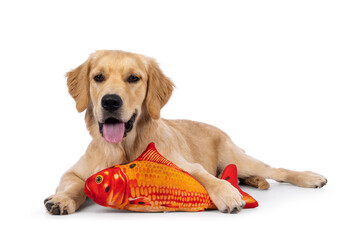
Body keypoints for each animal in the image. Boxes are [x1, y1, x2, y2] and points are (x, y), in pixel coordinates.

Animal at [43, 49, 328, 215]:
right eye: (98, 77)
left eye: (134, 78)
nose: (111, 101)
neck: (124, 147)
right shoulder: (73, 172)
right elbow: (75, 185)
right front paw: (61, 200)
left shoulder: (182, 164)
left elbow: (202, 175)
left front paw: (226, 193)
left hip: (238, 157)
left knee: (277, 170)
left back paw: (310, 177)